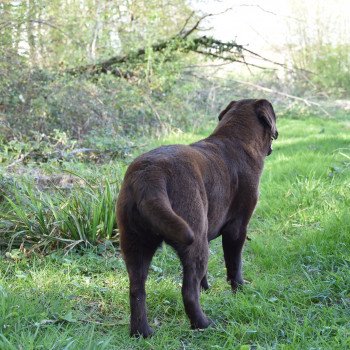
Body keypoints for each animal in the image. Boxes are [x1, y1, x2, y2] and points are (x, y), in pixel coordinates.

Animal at [117, 98, 278, 336]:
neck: (237, 140)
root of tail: (149, 175)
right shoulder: (237, 228)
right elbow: (234, 263)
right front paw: (239, 289)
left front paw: (207, 289)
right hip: (194, 240)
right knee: (187, 291)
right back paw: (203, 324)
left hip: (135, 244)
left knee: (137, 290)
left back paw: (143, 332)